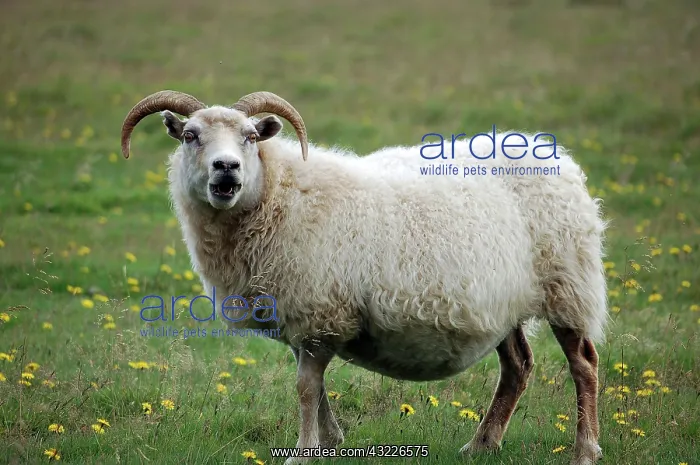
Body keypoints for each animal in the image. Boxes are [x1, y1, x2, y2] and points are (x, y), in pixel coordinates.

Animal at [120, 90, 608, 465]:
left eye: (250, 137)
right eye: (190, 136)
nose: (226, 167)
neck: (280, 193)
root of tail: (556, 156)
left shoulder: (319, 312)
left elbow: (305, 388)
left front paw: (304, 452)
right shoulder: (303, 319)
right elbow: (314, 388)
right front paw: (330, 441)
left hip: (568, 285)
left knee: (583, 364)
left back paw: (584, 451)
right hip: (503, 302)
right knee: (518, 367)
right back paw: (481, 445)